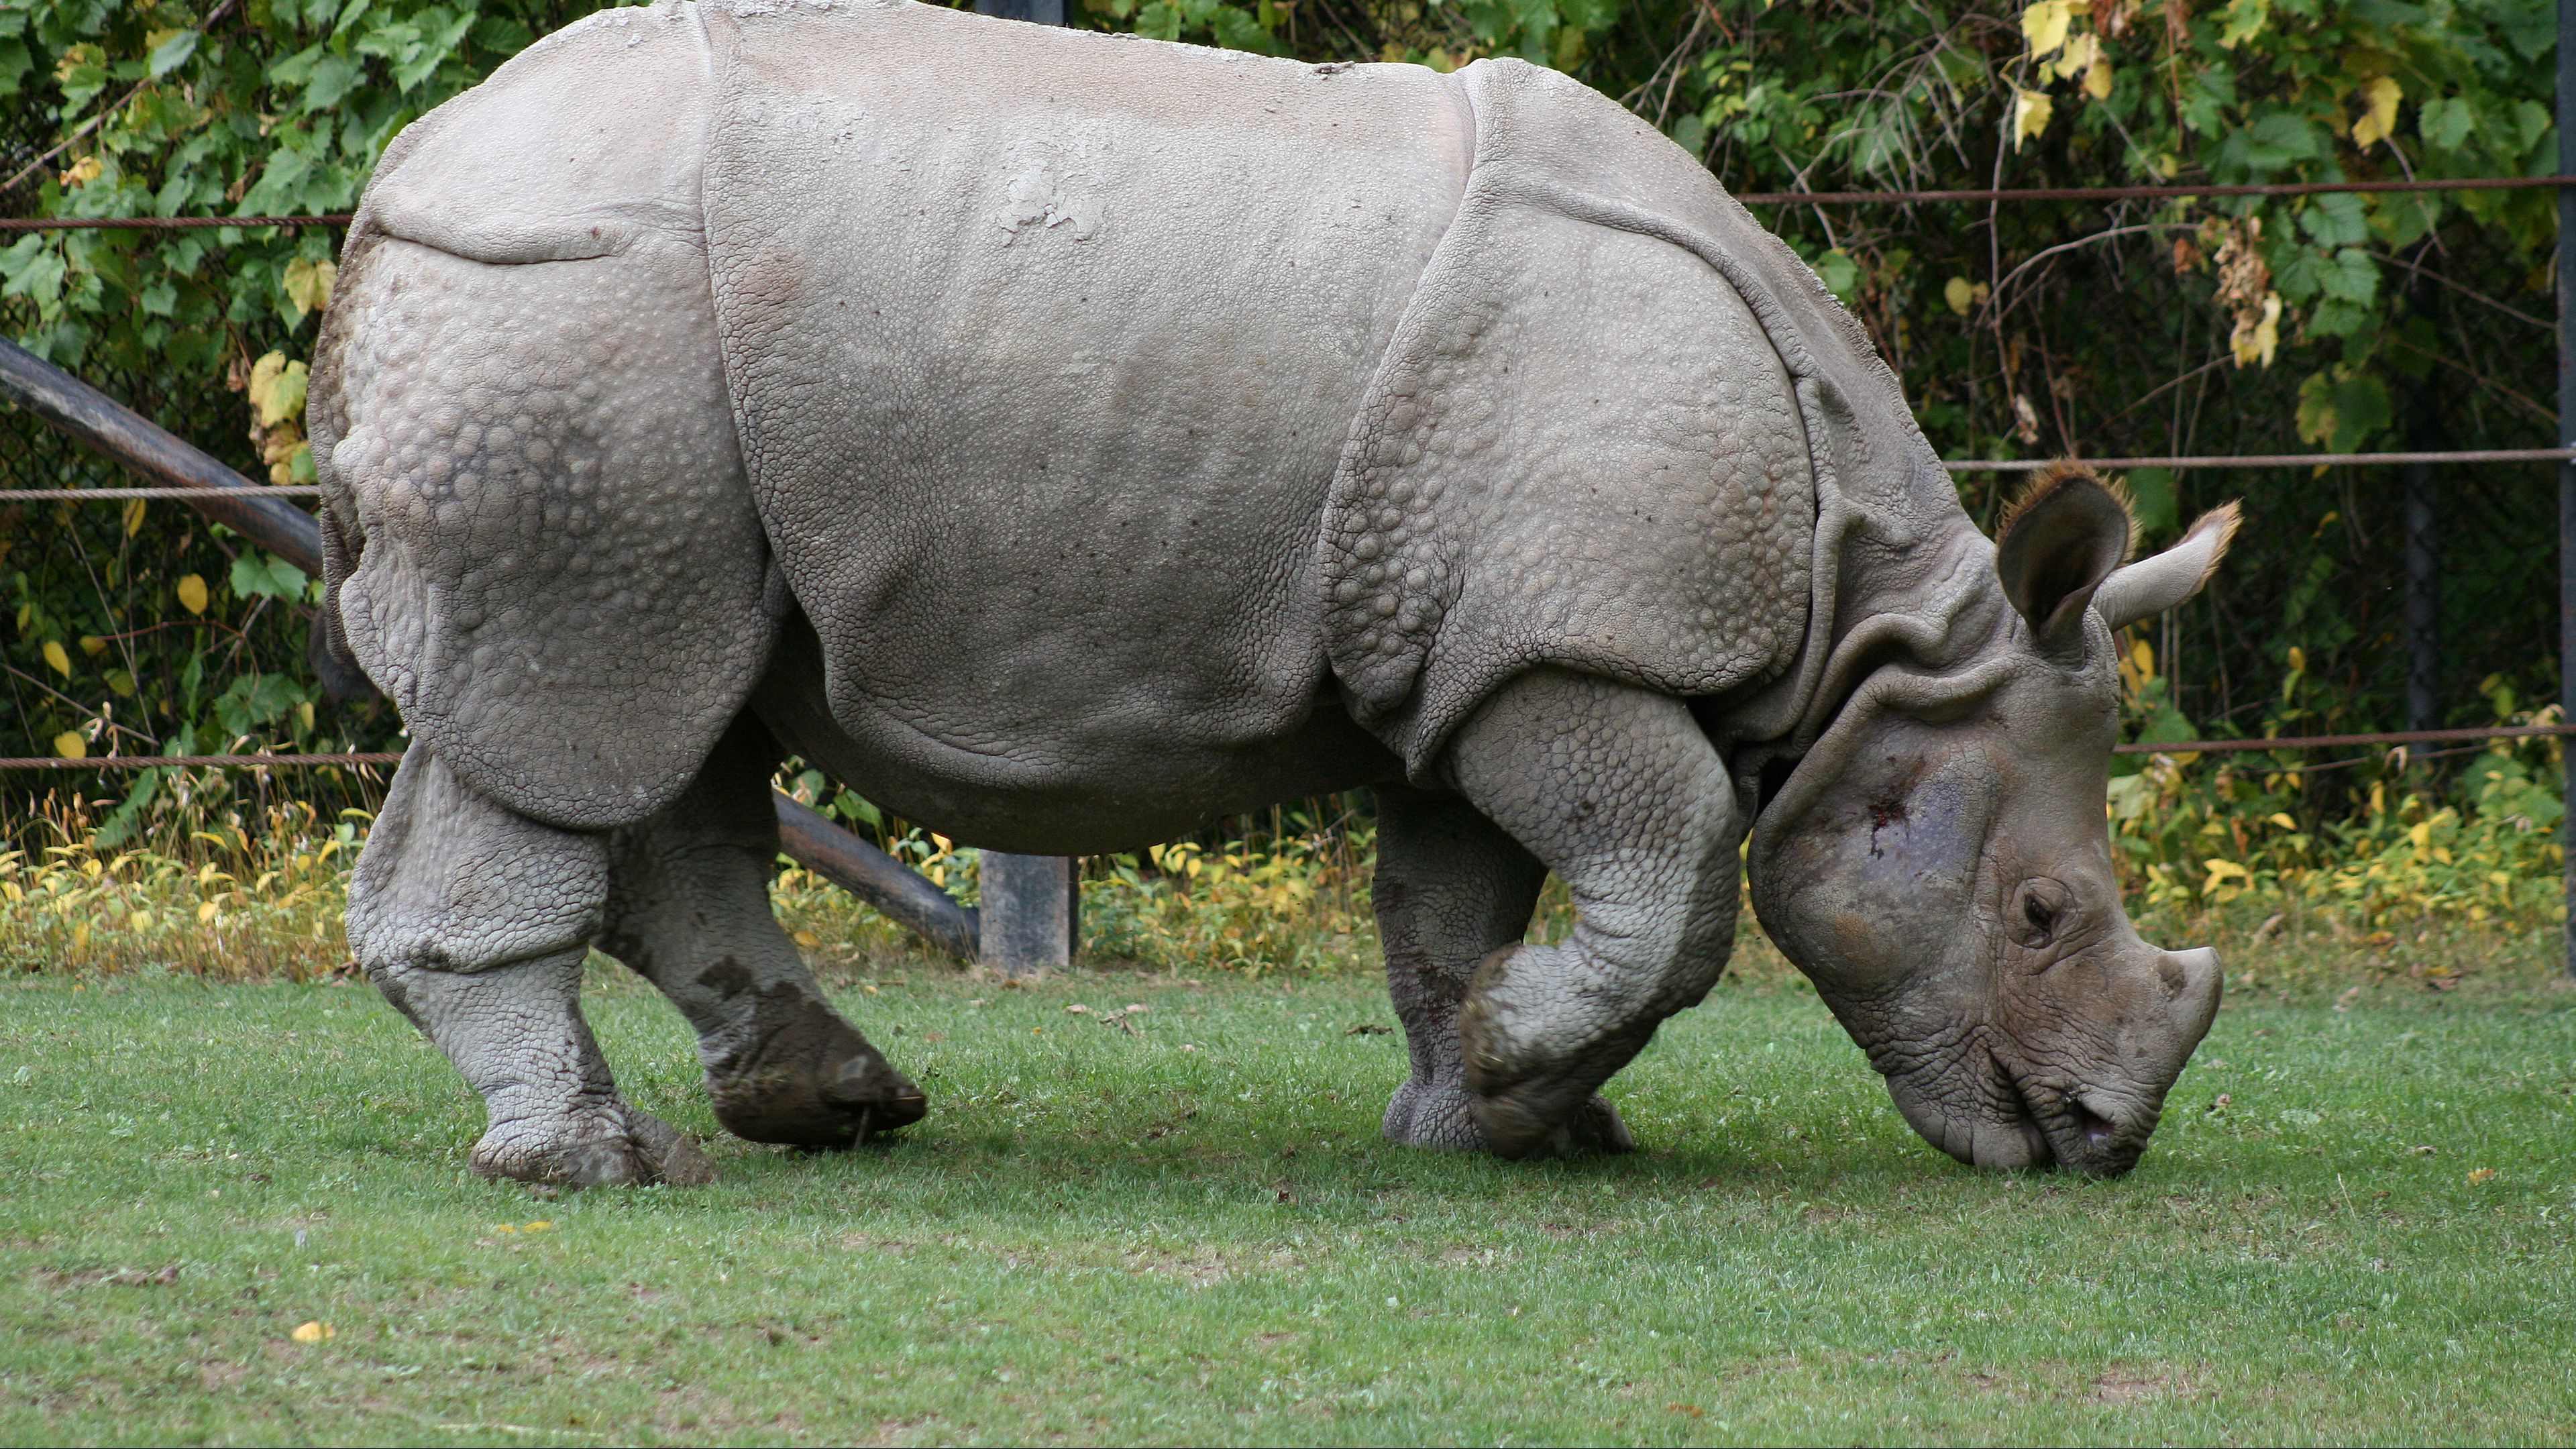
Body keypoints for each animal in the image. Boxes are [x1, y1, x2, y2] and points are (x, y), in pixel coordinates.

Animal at [309, 0, 2235, 1187]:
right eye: (2041, 915)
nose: (2102, 1141)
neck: (1869, 622)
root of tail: (400, 180)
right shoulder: (1562, 644)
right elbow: (1677, 873)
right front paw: (1524, 1077)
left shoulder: (1469, 649)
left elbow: (1450, 905)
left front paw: (1492, 1108)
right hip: (573, 333)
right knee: (580, 701)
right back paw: (600, 1164)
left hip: (612, 379)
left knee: (663, 717)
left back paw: (831, 1104)